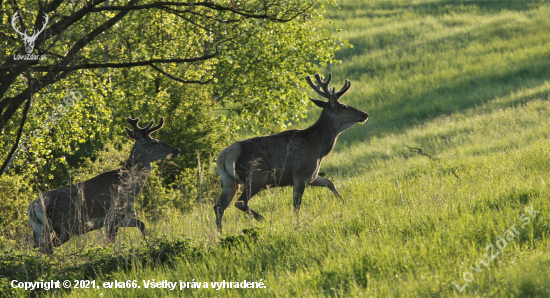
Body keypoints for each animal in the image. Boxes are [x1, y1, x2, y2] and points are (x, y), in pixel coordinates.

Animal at [27, 116, 180, 251]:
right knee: (47, 247)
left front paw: (148, 243)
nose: (177, 150)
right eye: (154, 142)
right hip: (64, 225)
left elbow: (141, 224)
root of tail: (33, 206)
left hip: (39, 228)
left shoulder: (123, 217)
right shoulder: (114, 215)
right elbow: (110, 242)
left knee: (39, 248)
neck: (128, 185)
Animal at [216, 73, 370, 232]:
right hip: (255, 176)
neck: (319, 148)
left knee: (219, 206)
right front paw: (297, 226)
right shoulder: (300, 175)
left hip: (228, 180)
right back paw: (262, 218)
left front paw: (344, 203)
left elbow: (330, 183)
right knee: (240, 202)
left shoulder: (312, 175)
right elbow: (297, 206)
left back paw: (220, 233)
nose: (365, 114)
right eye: (344, 106)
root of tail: (223, 156)